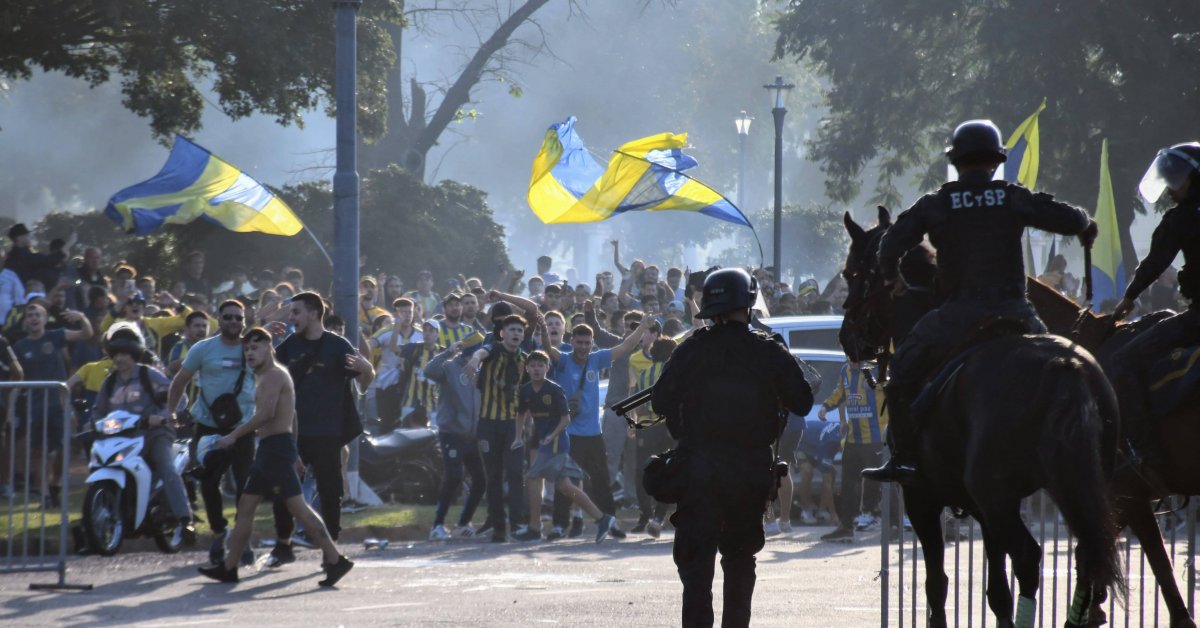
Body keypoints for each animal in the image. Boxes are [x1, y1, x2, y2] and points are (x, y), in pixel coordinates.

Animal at [844, 210, 1123, 628]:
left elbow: (937, 584)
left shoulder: (922, 498)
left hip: (997, 494)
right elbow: (997, 593)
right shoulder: (980, 510)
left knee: (1028, 555)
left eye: (851, 273)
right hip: (1078, 485)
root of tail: (1065, 366)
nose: (846, 338)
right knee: (1089, 550)